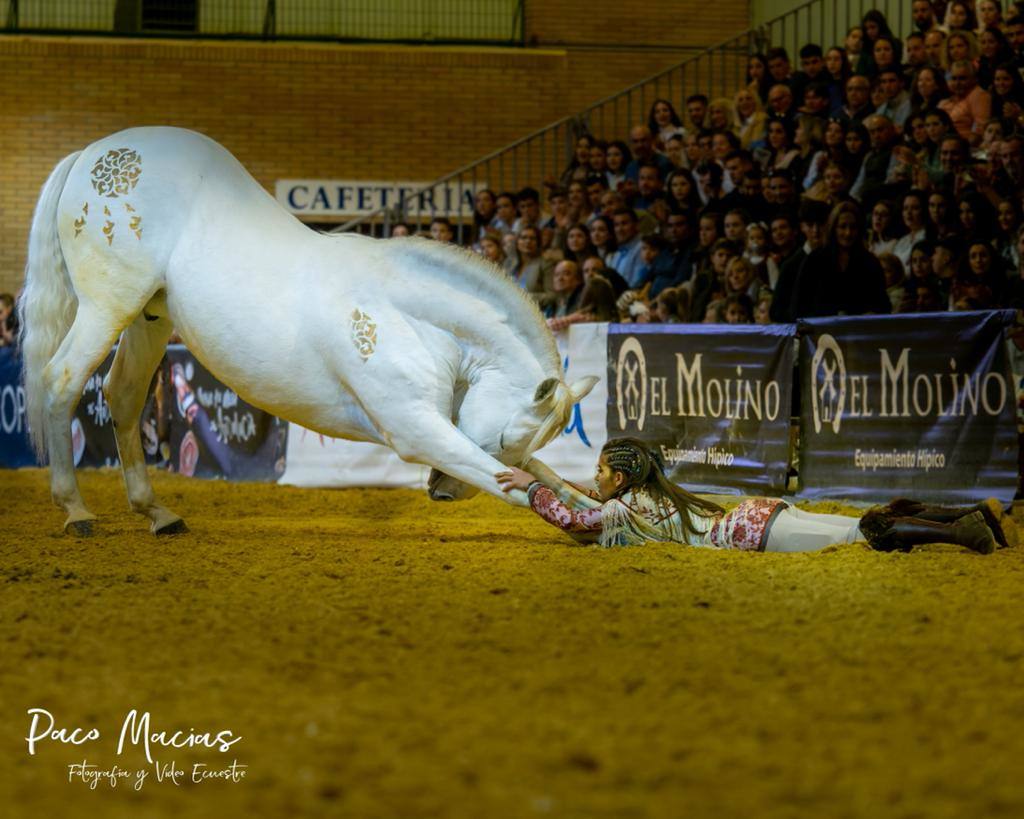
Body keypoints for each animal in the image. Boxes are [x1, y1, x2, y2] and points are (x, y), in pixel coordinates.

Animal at [19, 126, 598, 536]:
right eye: (504, 440)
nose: (442, 494)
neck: (406, 315)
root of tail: (93, 152)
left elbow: (547, 475)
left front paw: (596, 506)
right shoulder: (415, 428)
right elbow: (508, 484)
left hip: (150, 317)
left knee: (121, 395)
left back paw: (156, 512)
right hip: (107, 307)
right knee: (61, 382)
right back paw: (75, 511)